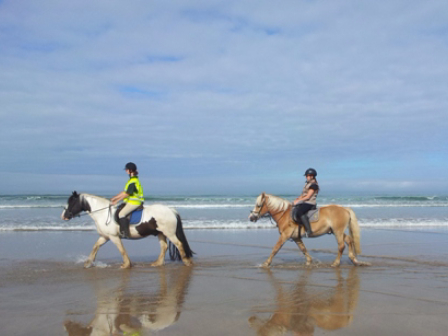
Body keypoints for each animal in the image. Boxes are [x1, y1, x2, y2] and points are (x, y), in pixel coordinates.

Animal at [60, 192, 192, 268]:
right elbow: (95, 247)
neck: (103, 213)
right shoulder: (105, 237)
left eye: (71, 202)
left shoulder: (113, 237)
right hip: (160, 233)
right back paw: (157, 263)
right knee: (164, 247)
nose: (63, 216)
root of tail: (171, 210)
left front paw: (126, 265)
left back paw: (186, 262)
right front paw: (88, 263)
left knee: (179, 244)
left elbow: (122, 250)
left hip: (169, 233)